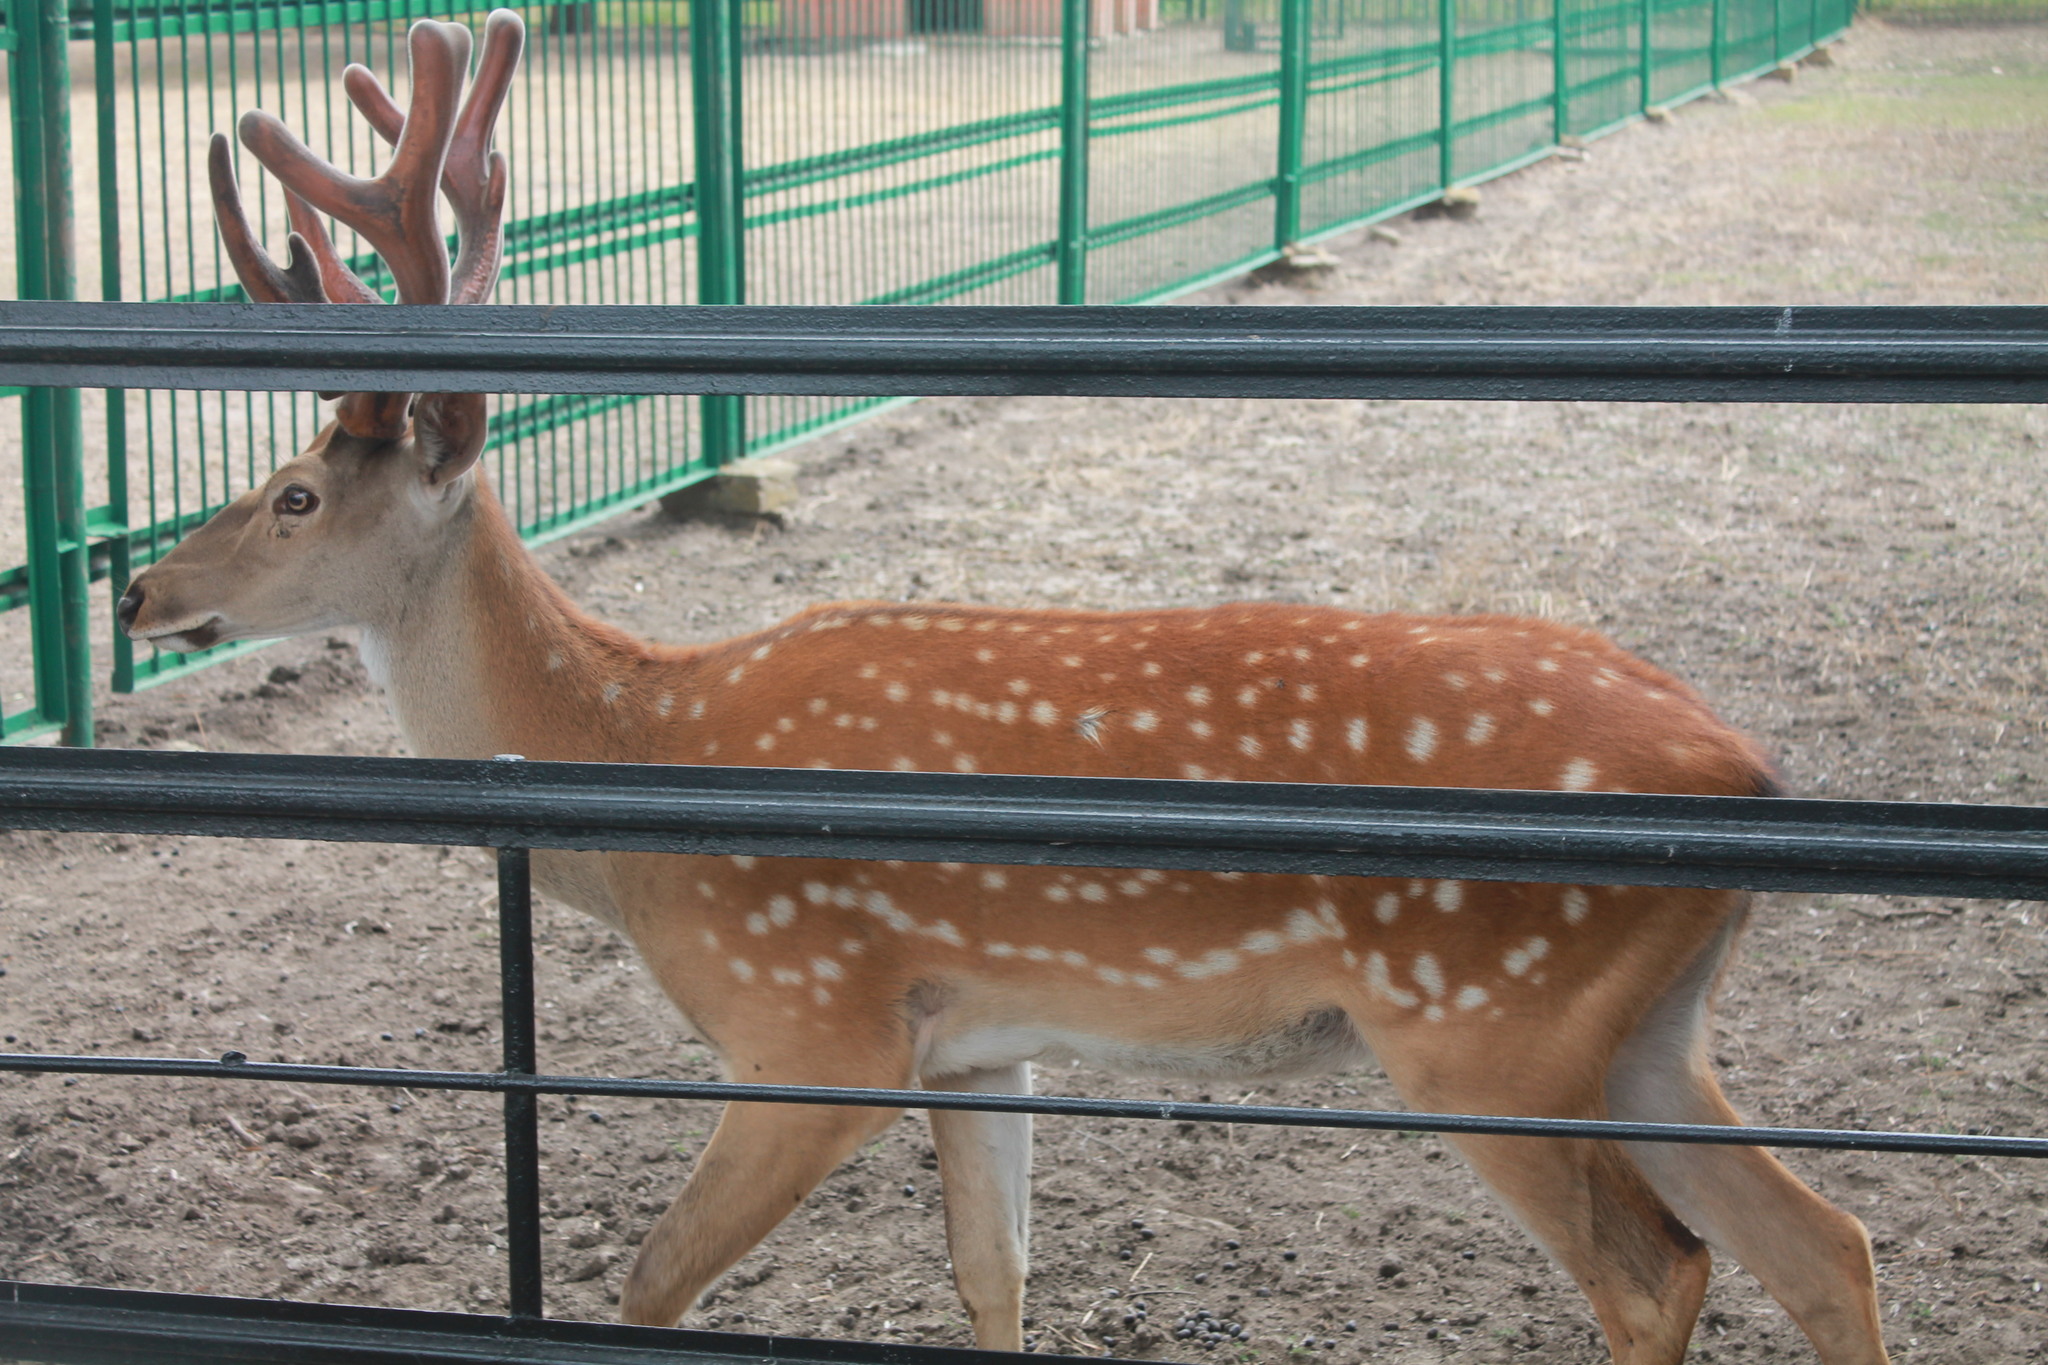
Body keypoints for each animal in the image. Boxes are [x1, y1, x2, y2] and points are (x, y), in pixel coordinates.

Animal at [116, 13, 1884, 1365]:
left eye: (291, 493)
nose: (136, 591)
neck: (642, 763)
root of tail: (1750, 772)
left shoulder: (814, 1017)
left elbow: (650, 1284)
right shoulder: (973, 1039)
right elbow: (993, 1276)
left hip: (1486, 1029)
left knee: (1657, 1273)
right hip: (1645, 1031)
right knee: (1828, 1239)